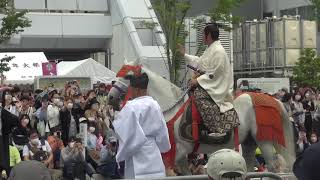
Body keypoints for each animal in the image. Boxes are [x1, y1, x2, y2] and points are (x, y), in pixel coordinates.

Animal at [107, 60, 296, 174]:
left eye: (128, 76)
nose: (110, 98)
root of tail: (272, 99)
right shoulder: (181, 155)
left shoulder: (179, 150)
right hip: (249, 141)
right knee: (250, 165)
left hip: (264, 140)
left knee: (273, 166)